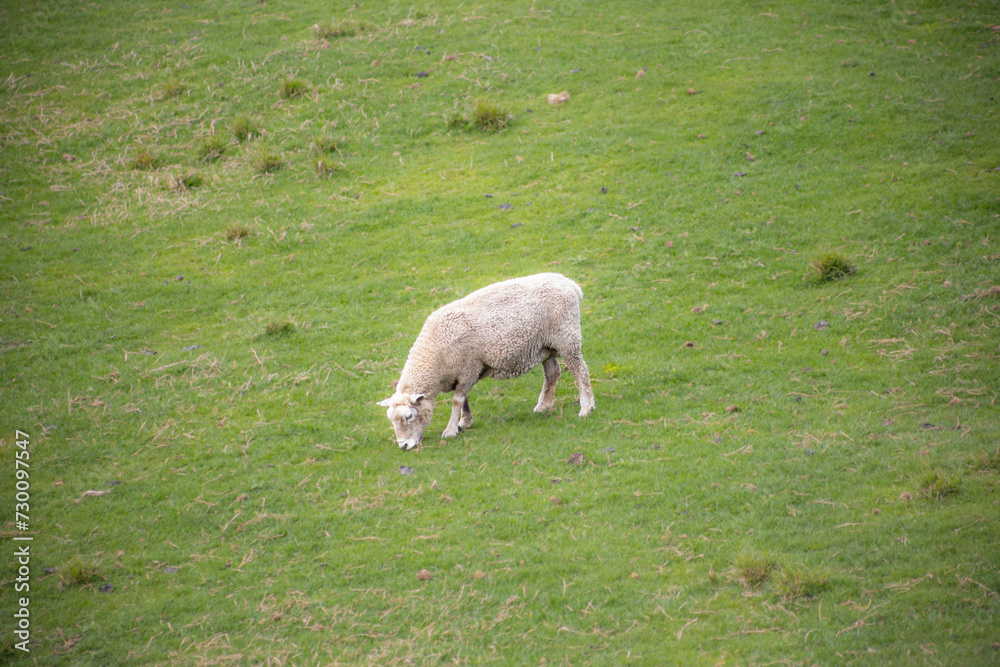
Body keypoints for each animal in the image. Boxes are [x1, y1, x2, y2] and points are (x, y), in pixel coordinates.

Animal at [377, 273, 596, 450]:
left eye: (409, 416)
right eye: (392, 420)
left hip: (567, 337)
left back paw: (586, 408)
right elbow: (464, 399)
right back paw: (544, 406)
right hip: (544, 346)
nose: (404, 446)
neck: (434, 356)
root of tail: (571, 284)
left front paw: (451, 430)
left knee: (581, 371)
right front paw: (464, 422)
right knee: (552, 372)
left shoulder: (469, 368)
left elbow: (457, 400)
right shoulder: (461, 373)